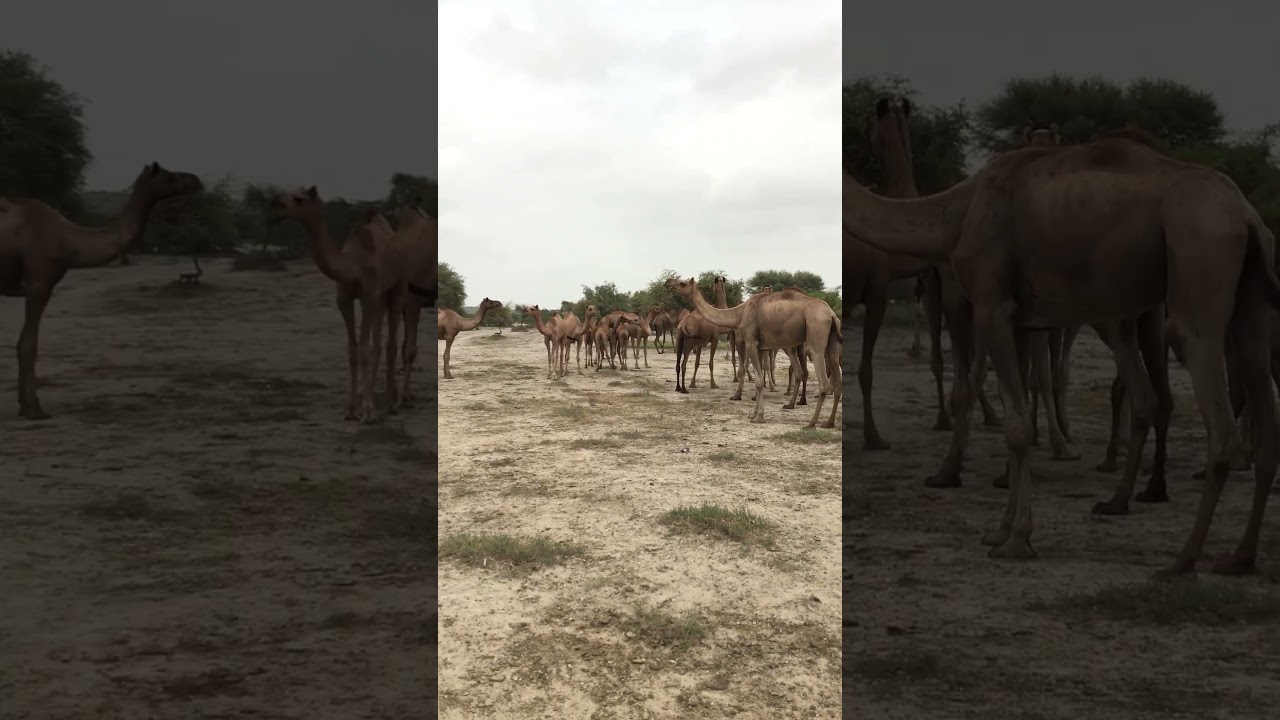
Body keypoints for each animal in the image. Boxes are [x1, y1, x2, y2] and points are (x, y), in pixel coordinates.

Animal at [0, 162, 204, 419]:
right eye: (169, 176)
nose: (196, 180)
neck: (69, 241)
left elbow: (23, 344)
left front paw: (23, 407)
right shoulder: (39, 283)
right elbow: (27, 345)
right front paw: (34, 409)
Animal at [668, 278, 841, 427]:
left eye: (683, 283)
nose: (669, 282)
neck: (739, 312)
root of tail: (831, 314)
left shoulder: (750, 342)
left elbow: (757, 380)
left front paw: (758, 417)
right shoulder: (759, 347)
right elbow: (759, 378)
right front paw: (754, 413)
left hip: (815, 333)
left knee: (822, 379)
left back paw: (811, 422)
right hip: (829, 343)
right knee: (828, 374)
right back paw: (827, 422)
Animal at [843, 131, 1280, 576]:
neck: (958, 212)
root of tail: (1247, 215)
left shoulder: (990, 303)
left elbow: (1017, 428)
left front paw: (1018, 540)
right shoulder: (1020, 320)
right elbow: (1016, 417)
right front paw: (1000, 531)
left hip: (1199, 260)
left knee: (1216, 417)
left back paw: (1183, 559)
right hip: (1252, 298)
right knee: (1257, 399)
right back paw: (1237, 556)